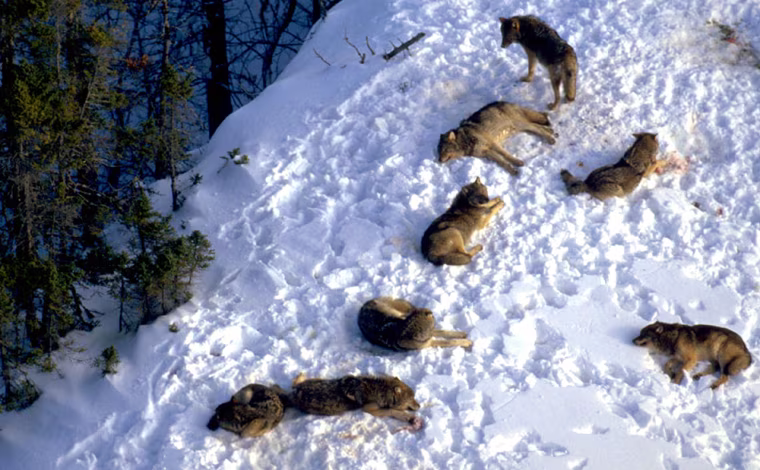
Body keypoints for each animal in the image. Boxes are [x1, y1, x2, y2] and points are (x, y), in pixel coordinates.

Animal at [290, 373, 422, 425]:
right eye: (412, 398)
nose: (420, 406)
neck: (380, 389)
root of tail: (295, 393)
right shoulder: (368, 409)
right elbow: (391, 411)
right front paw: (407, 417)